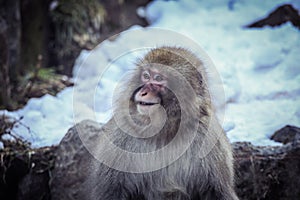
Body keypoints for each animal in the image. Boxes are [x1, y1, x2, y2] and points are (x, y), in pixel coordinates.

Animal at [51, 46, 239, 199]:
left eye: (158, 78)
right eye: (146, 76)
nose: (142, 92)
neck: (166, 131)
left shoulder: (210, 141)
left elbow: (217, 191)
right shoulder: (121, 138)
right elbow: (111, 190)